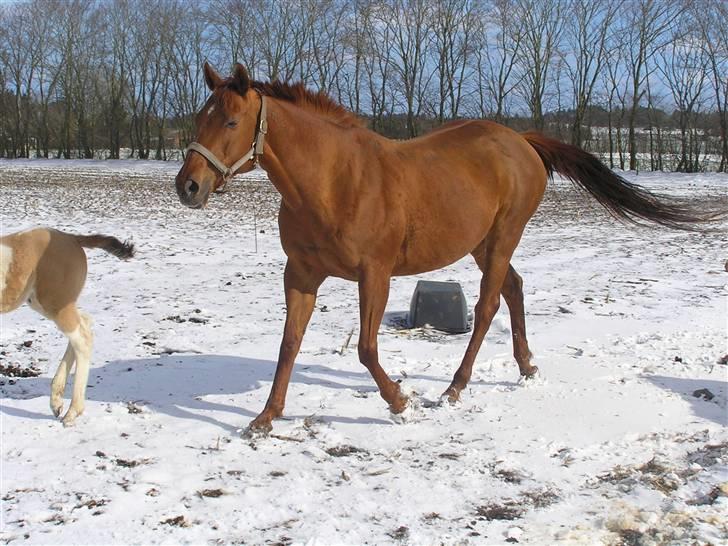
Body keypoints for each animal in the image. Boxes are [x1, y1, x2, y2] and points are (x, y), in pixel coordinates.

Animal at [0, 227, 133, 422]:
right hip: (49, 304)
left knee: (82, 339)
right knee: (84, 323)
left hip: (55, 303)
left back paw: (72, 411)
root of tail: (72, 238)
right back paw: (57, 401)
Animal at [176, 63, 712, 432]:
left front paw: (400, 402)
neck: (334, 181)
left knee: (490, 303)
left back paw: (455, 387)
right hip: (480, 243)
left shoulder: (375, 274)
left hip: (503, 236)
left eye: (230, 122)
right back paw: (526, 367)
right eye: (201, 117)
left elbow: (367, 348)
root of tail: (521, 140)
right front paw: (265, 418)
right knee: (514, 290)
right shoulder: (301, 275)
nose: (188, 187)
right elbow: (289, 344)